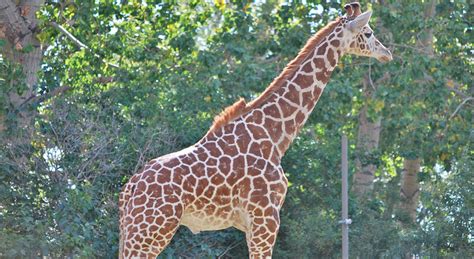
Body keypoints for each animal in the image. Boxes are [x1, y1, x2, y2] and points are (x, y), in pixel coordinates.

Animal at [119, 2, 392, 259]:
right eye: (368, 33)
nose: (387, 53)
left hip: (133, 228)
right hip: (153, 227)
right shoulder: (266, 217)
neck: (276, 135)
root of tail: (130, 188)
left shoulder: (253, 223)